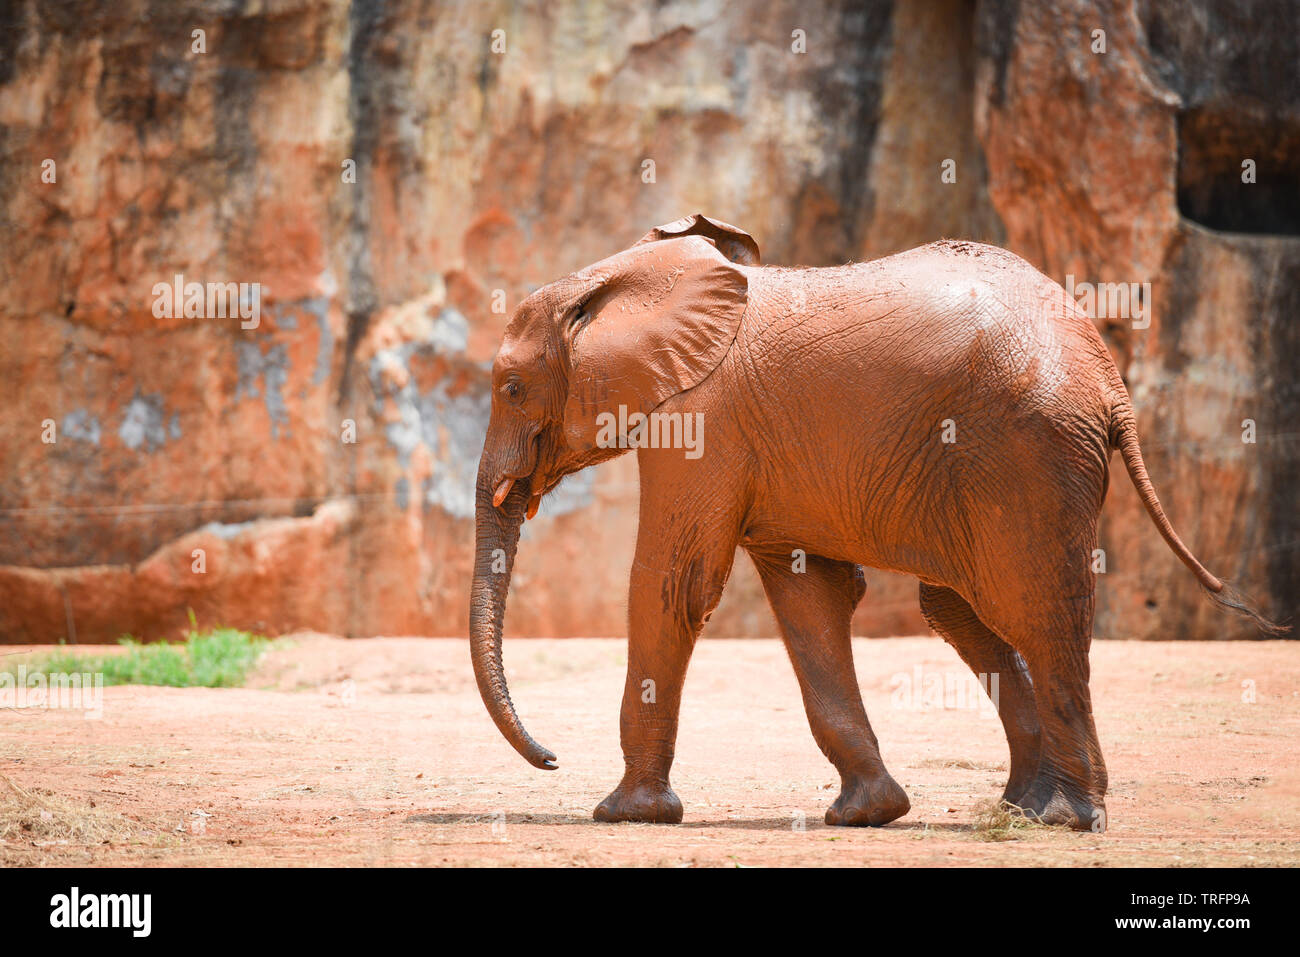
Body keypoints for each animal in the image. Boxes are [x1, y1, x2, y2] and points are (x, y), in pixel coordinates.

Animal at [469, 213, 1284, 831]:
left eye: (510, 387)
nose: (552, 758)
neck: (616, 277)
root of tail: (1112, 382)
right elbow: (810, 596)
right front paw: (868, 813)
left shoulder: (703, 420)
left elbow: (674, 584)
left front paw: (625, 813)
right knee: (959, 608)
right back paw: (1021, 808)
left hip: (1028, 450)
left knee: (1033, 608)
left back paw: (1066, 818)